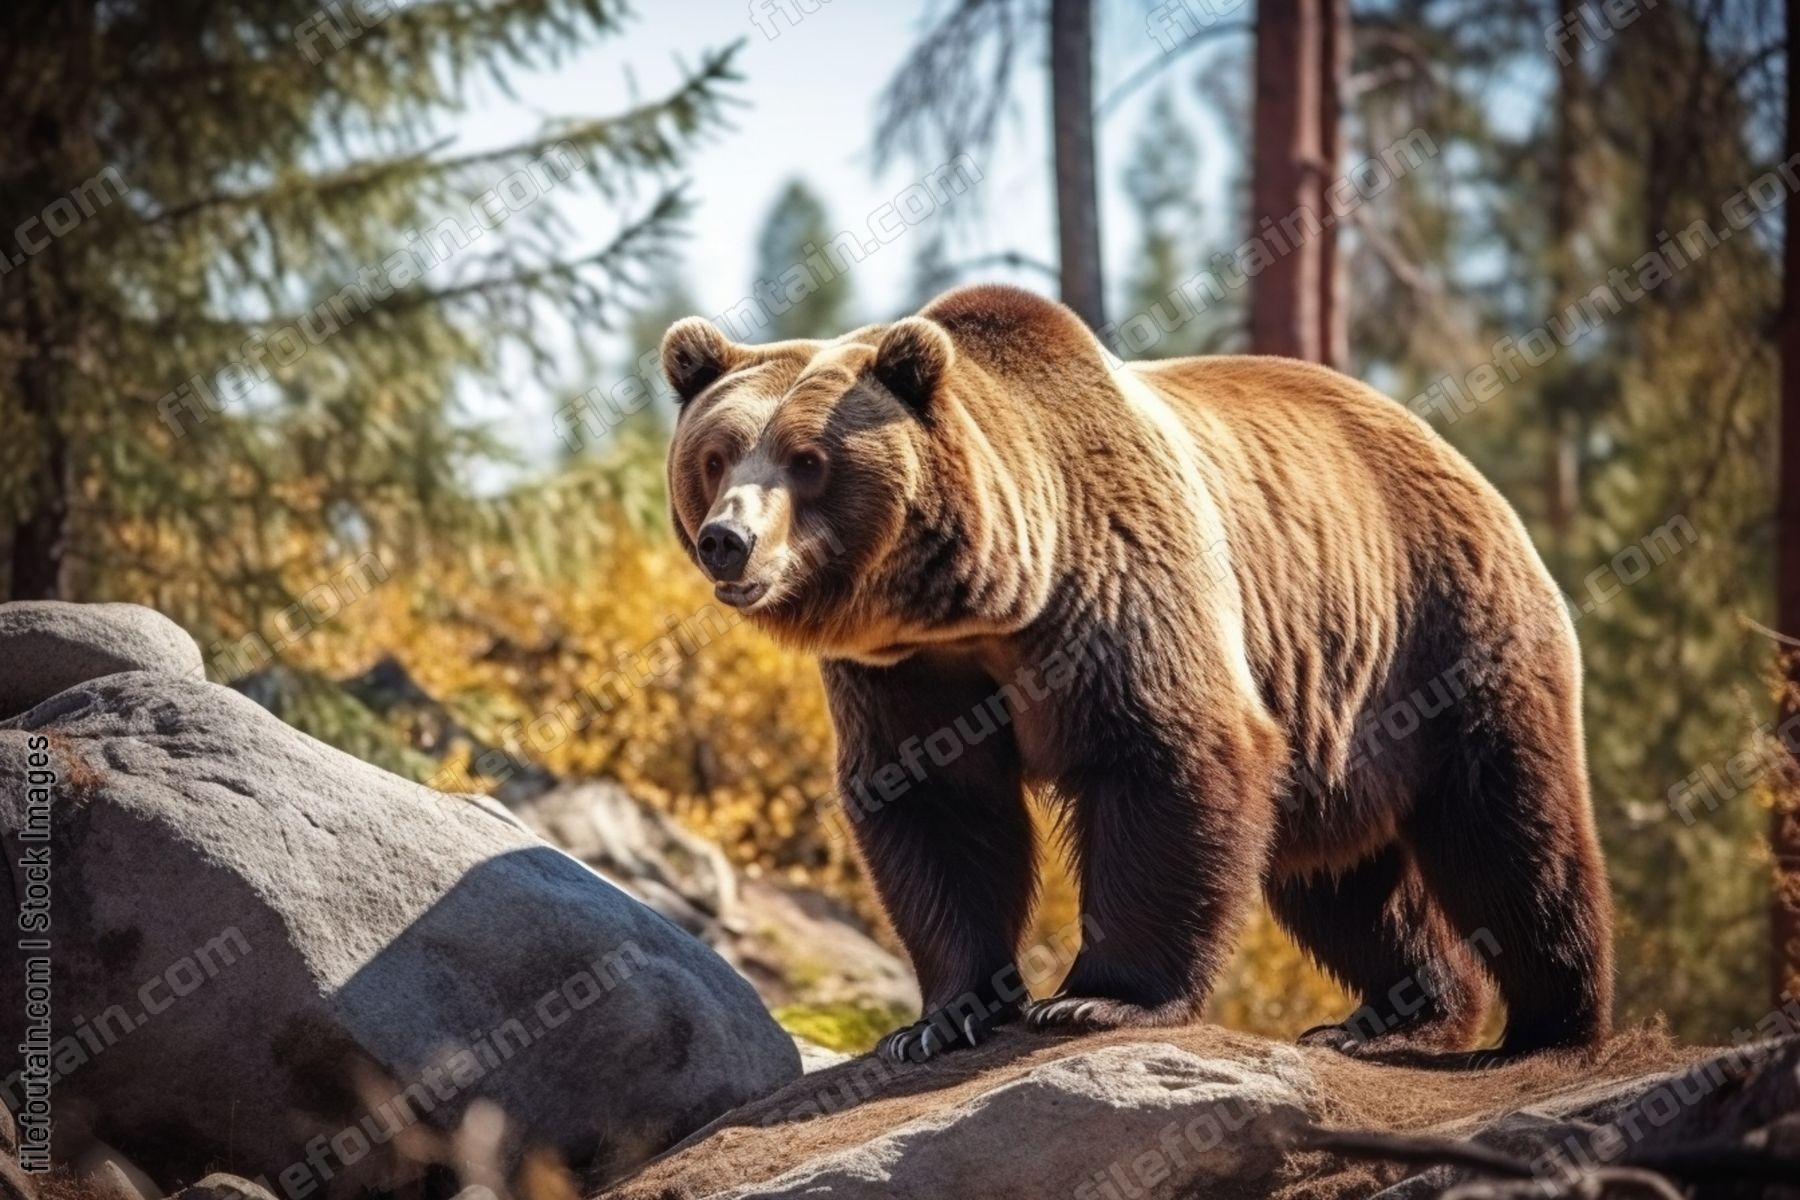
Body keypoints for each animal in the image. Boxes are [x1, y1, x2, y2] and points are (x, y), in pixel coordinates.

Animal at [660, 283, 1614, 1065]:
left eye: (808, 460)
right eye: (716, 455)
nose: (727, 539)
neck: (986, 602)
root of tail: (1452, 453)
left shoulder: (1115, 587)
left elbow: (1167, 756)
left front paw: (1094, 999)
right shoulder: (905, 671)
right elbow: (936, 802)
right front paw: (939, 1019)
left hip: (1440, 631)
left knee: (1510, 831)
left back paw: (1553, 1026)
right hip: (1341, 723)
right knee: (1344, 881)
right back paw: (1397, 1017)